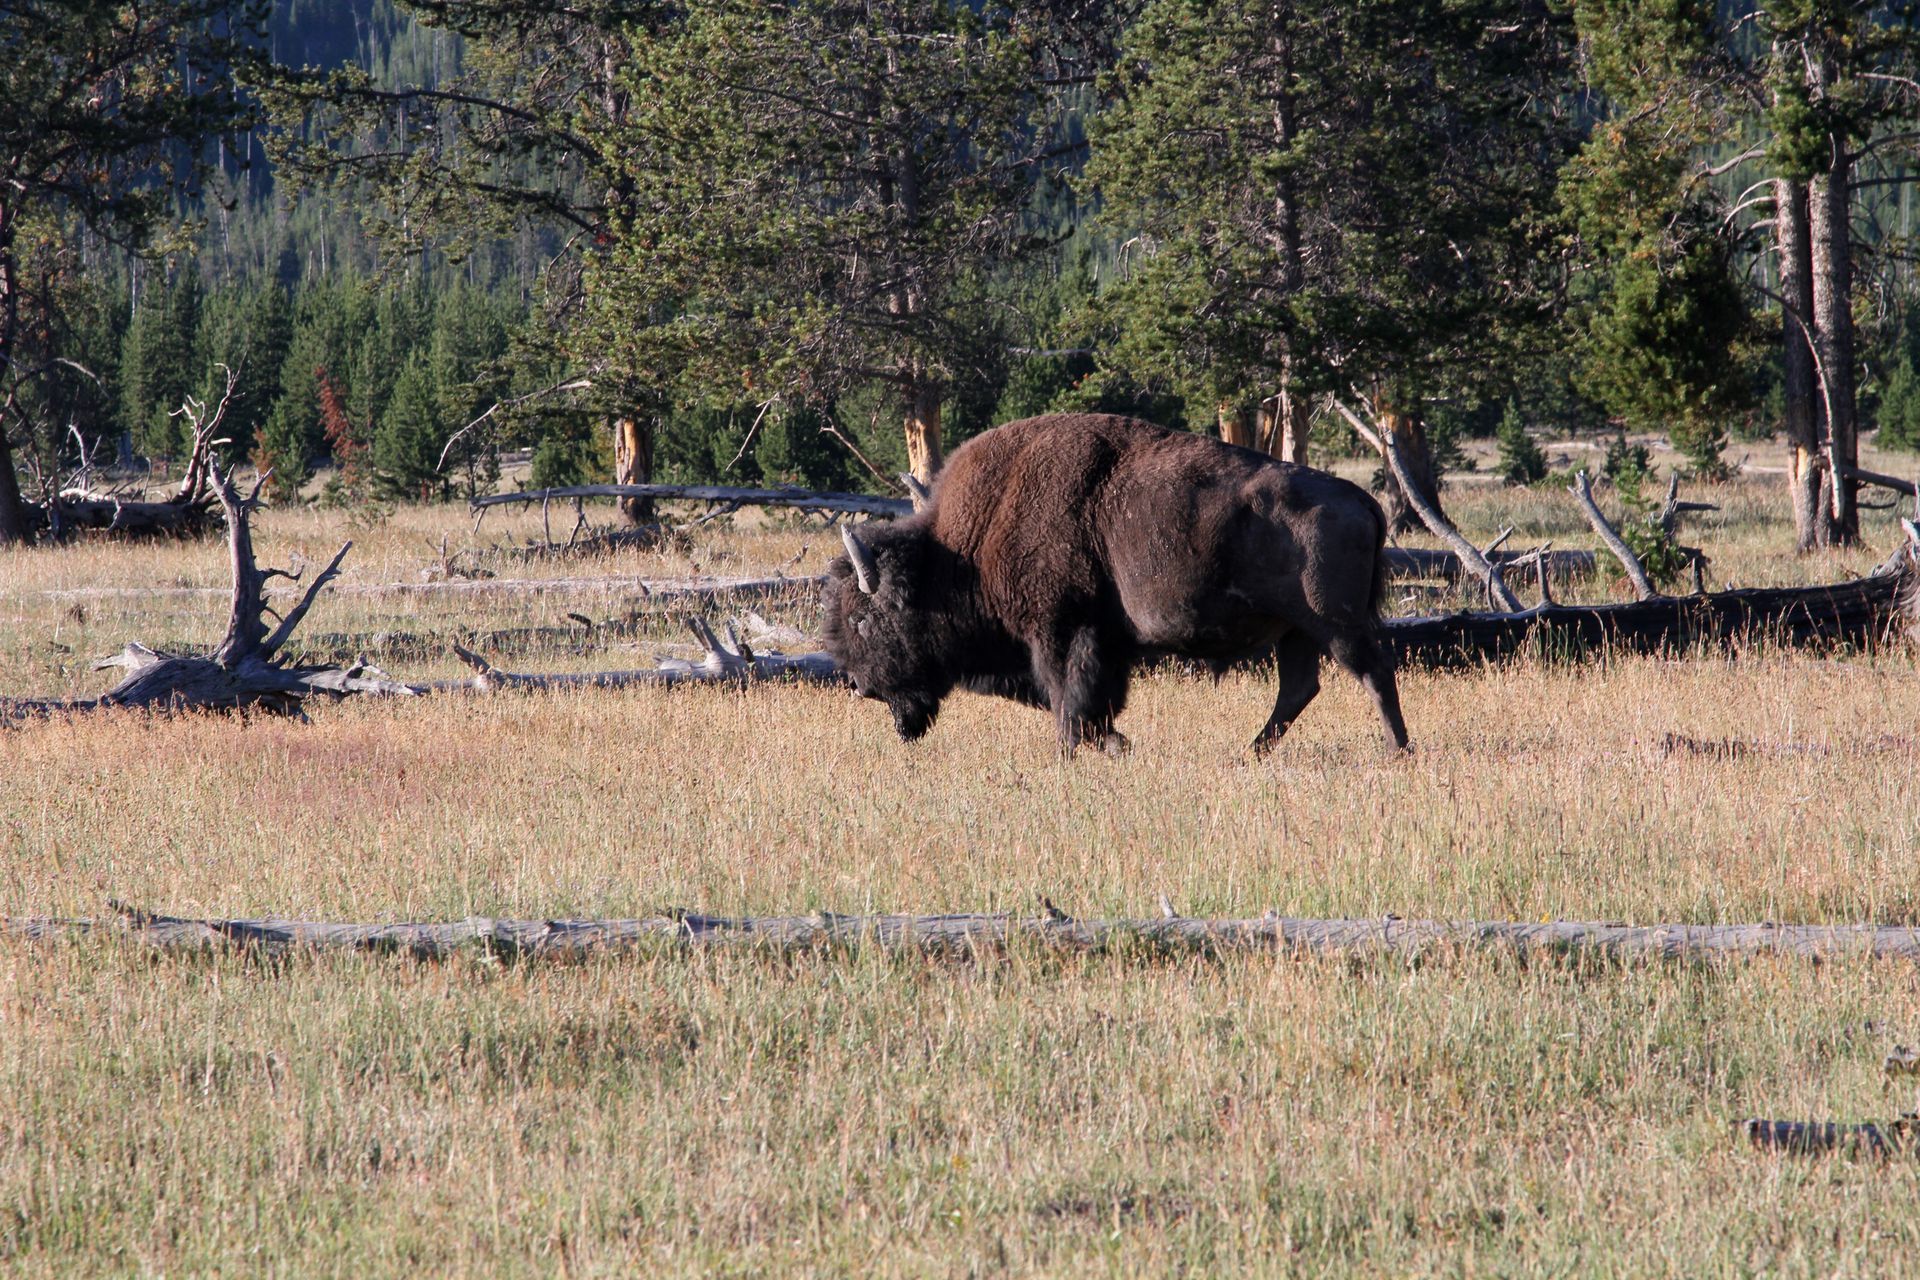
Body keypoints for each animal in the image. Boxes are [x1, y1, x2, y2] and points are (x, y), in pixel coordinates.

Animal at [823, 413, 1409, 756]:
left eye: (865, 619)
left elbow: (1065, 693)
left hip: (1333, 622)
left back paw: (1397, 751)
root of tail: (1362, 500)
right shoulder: (1103, 642)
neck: (961, 551)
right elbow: (1083, 699)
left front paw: (1074, 750)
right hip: (1297, 630)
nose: (862, 686)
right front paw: (1113, 741)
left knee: (1373, 673)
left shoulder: (1061, 631)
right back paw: (1252, 752)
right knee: (1299, 688)